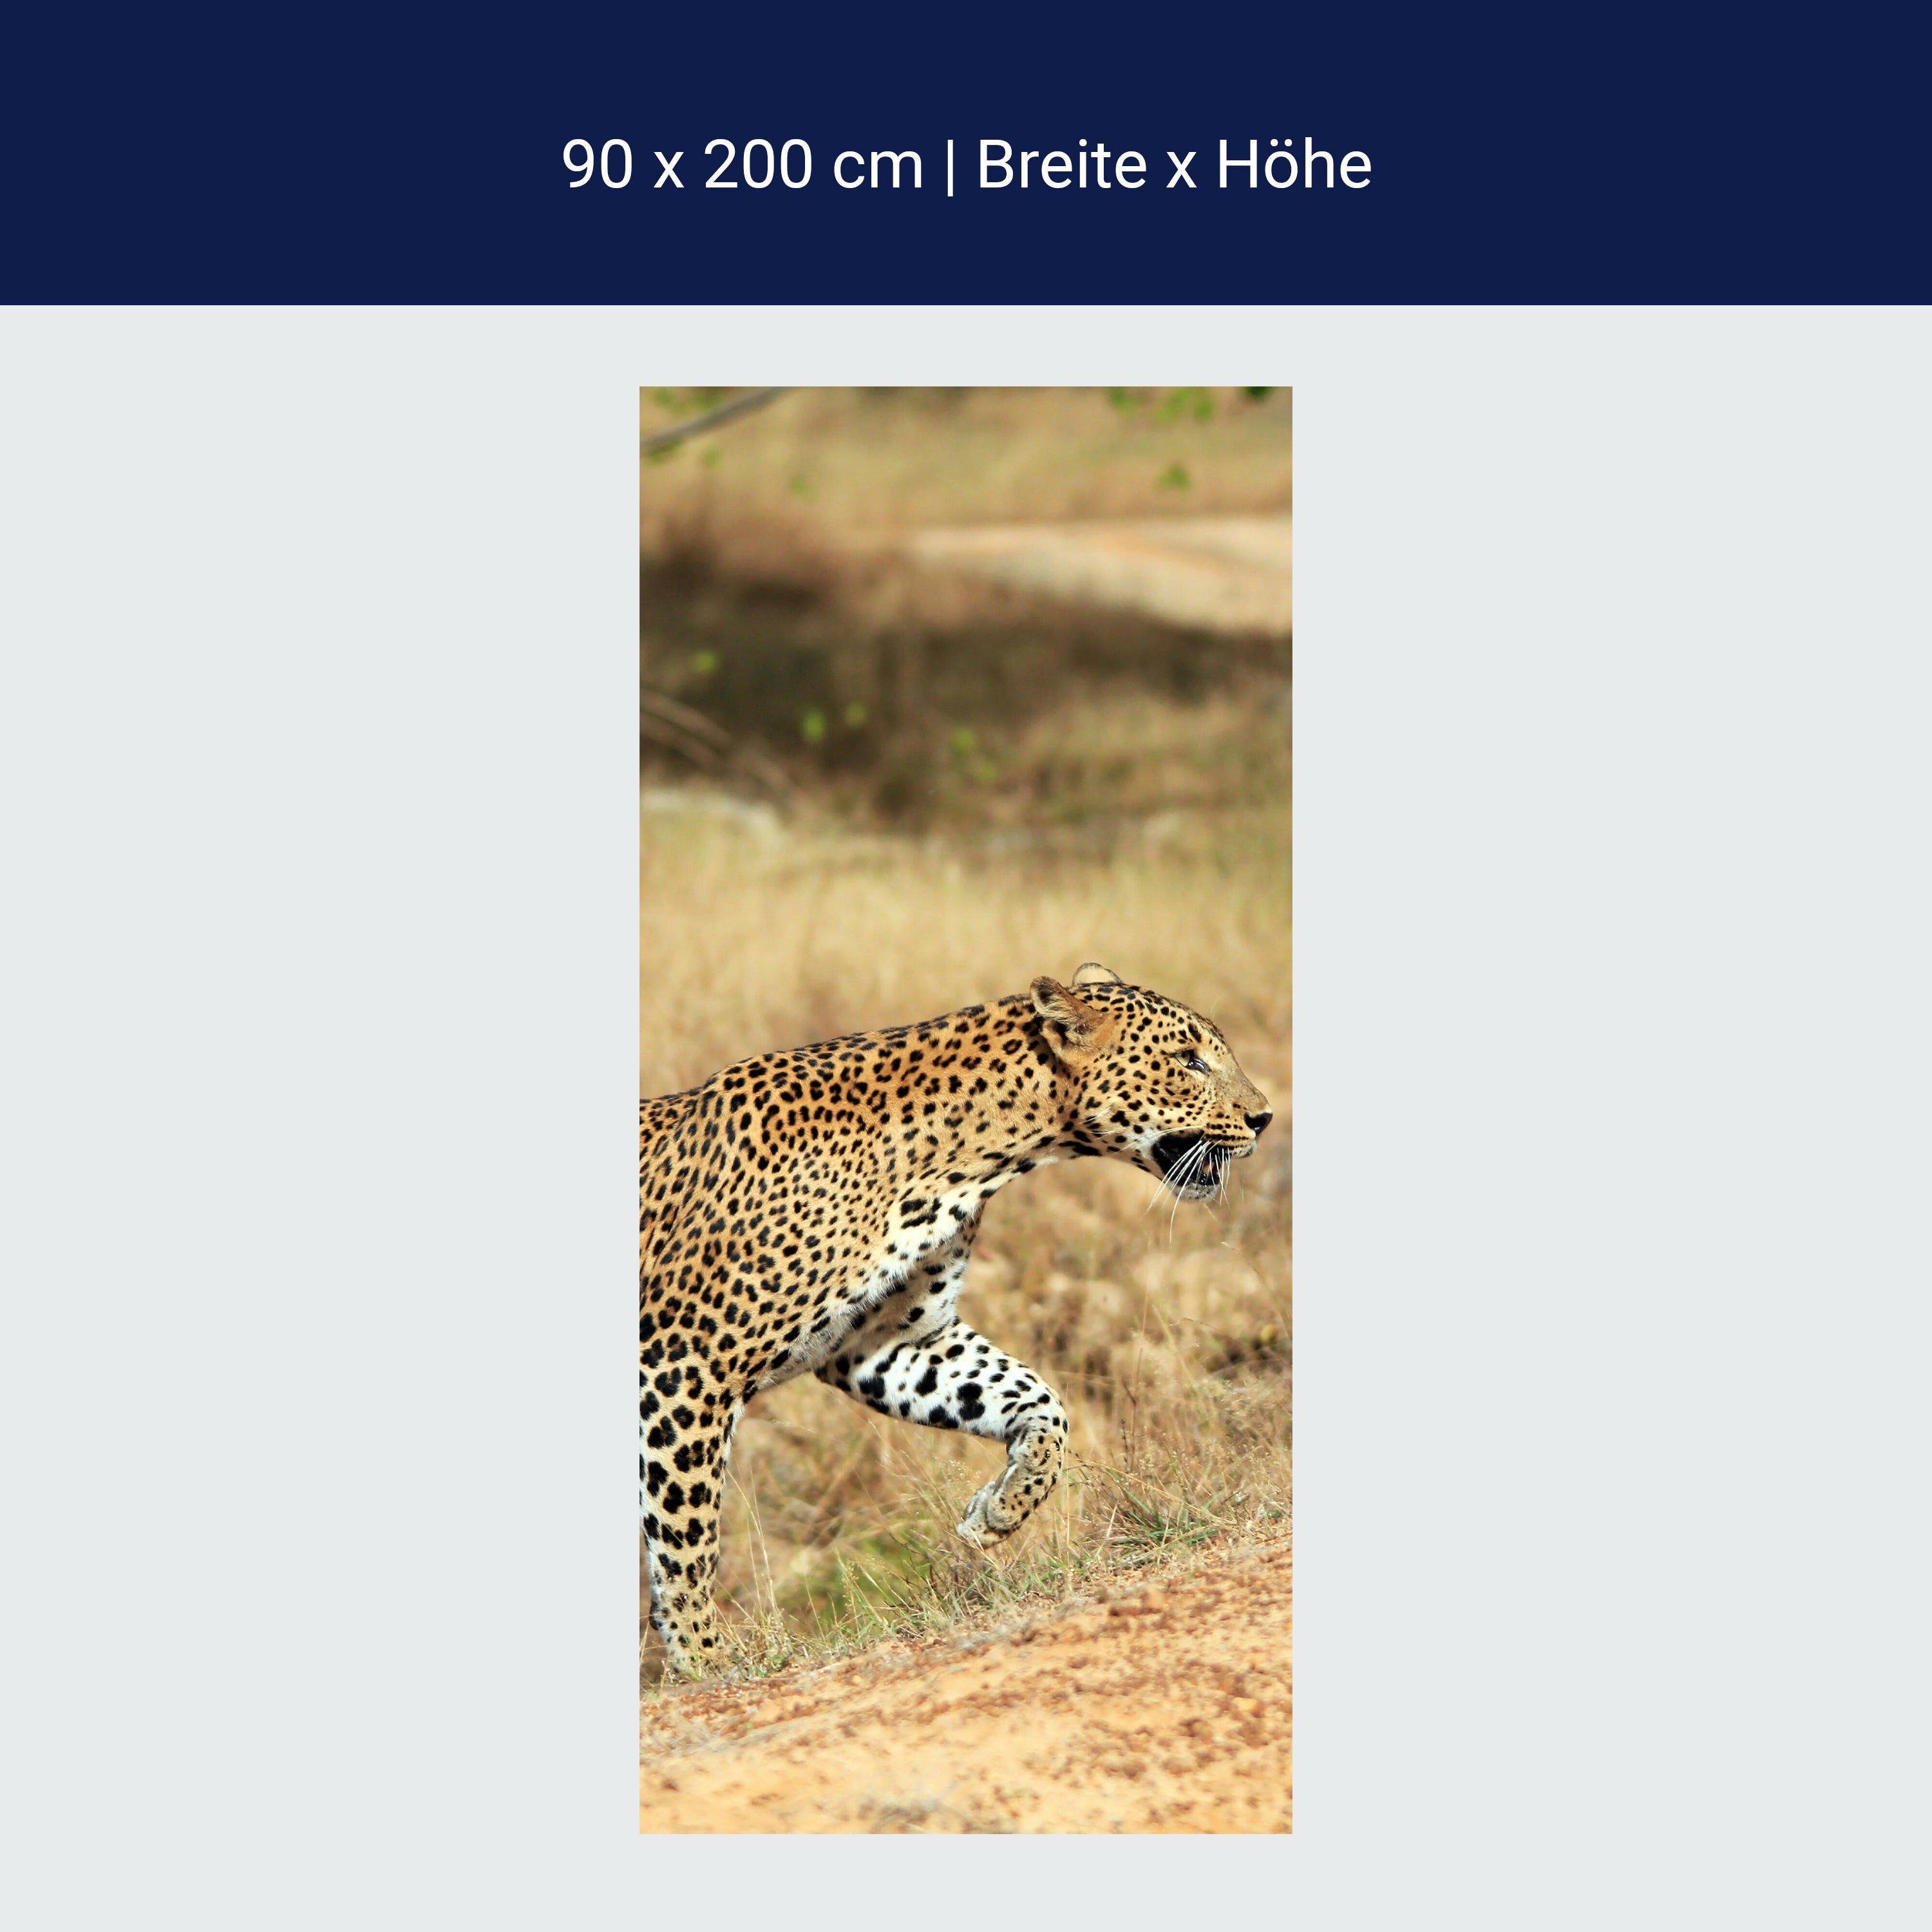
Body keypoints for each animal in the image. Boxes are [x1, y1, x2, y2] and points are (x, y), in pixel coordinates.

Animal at [640, 962, 1273, 1677]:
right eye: (1189, 1061)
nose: (1265, 1118)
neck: (969, 1163)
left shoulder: (893, 1341)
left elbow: (1039, 1401)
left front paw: (1001, 1510)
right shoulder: (686, 1365)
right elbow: (688, 1533)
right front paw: (704, 1660)